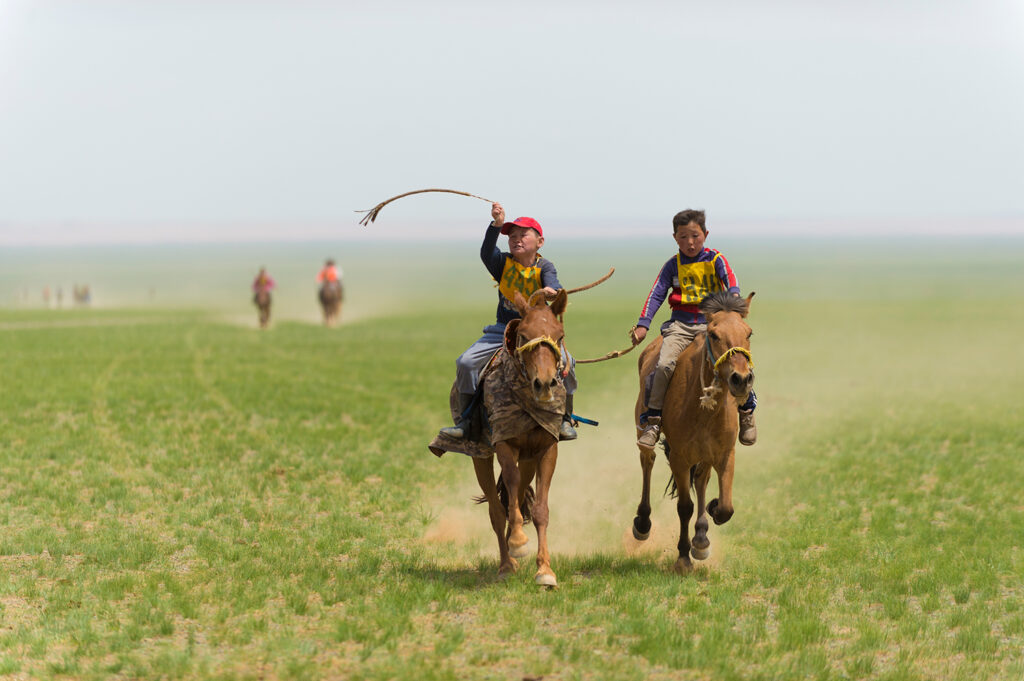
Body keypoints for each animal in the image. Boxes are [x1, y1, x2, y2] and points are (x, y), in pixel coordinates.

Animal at [626, 288, 757, 569]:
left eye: (748, 333)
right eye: (714, 334)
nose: (741, 379)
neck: (704, 409)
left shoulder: (723, 454)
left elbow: (726, 507)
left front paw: (707, 524)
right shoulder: (679, 457)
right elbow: (684, 507)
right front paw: (683, 557)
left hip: (704, 455)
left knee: (701, 479)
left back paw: (701, 536)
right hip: (645, 434)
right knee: (647, 461)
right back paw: (642, 524)